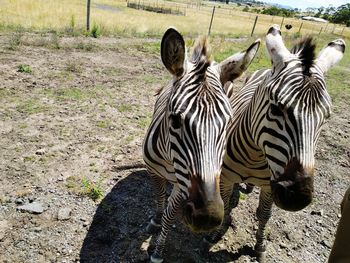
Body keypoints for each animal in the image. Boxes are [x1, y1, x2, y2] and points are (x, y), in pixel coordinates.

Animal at [142, 27, 260, 262]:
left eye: (228, 123)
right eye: (175, 120)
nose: (207, 217)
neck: (169, 160)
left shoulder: (182, 185)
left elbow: (169, 215)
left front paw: (158, 251)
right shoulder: (153, 172)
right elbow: (159, 199)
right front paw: (155, 220)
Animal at [204, 25, 346, 262]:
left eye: (326, 117)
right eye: (276, 108)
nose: (298, 197)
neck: (253, 157)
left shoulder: (270, 185)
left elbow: (264, 214)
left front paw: (259, 246)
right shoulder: (225, 177)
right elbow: (224, 204)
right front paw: (216, 232)